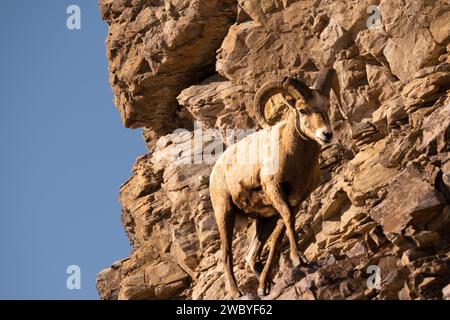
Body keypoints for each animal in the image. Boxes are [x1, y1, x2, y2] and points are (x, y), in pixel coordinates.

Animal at [211, 69, 342, 298]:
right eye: (303, 110)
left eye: (326, 106)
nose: (326, 134)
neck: (295, 159)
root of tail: (215, 169)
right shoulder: (275, 192)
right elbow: (288, 221)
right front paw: (300, 259)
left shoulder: (293, 202)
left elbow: (280, 234)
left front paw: (267, 283)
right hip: (224, 213)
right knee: (227, 253)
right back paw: (237, 292)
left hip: (264, 220)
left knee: (251, 255)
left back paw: (264, 283)